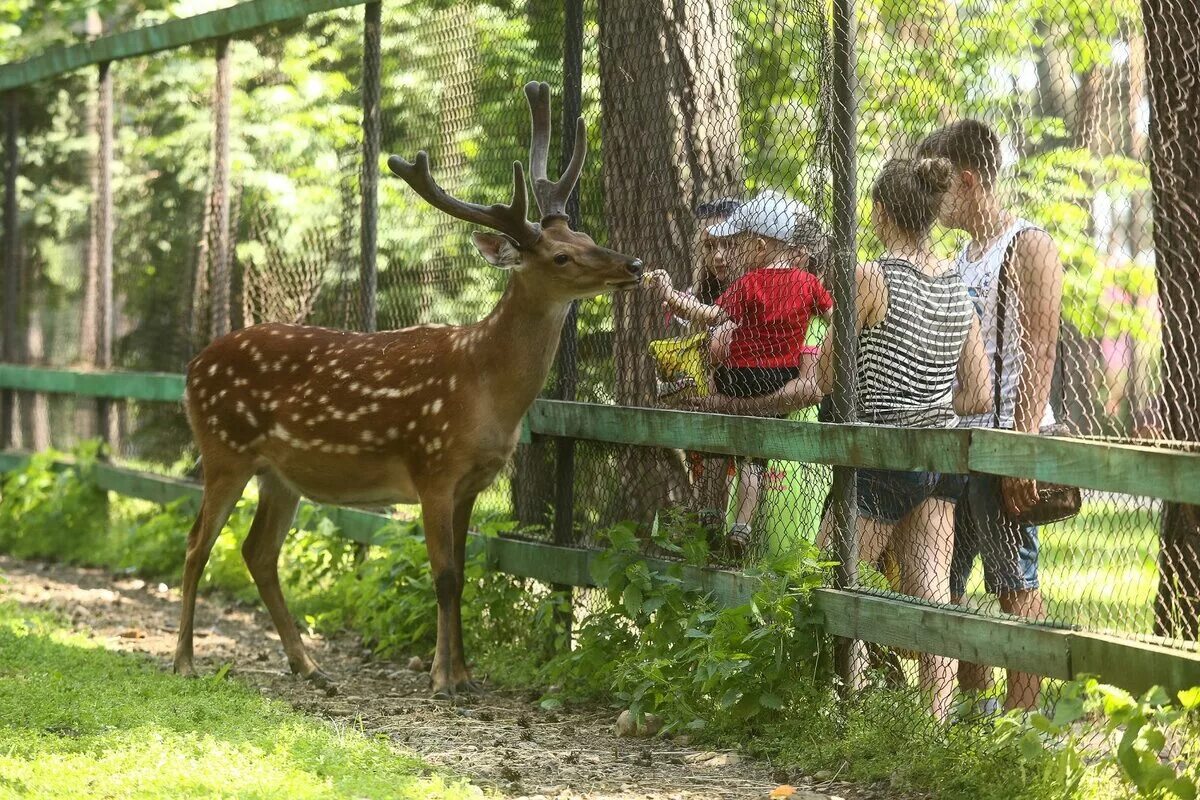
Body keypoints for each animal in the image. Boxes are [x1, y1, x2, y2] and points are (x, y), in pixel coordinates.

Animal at [174, 79, 643, 695]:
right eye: (561, 255)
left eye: (585, 233)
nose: (633, 264)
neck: (486, 388)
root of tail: (191, 368)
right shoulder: (432, 466)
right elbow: (442, 575)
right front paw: (443, 678)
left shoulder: (473, 481)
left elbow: (464, 572)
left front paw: (465, 673)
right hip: (224, 449)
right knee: (197, 544)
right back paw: (184, 661)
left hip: (280, 473)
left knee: (258, 551)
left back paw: (310, 666)